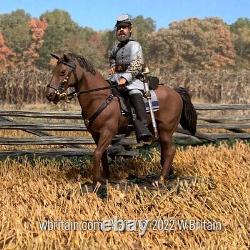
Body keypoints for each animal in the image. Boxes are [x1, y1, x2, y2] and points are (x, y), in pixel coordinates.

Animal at [46, 52, 196, 185]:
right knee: (165, 150)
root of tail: (176, 92)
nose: (49, 94)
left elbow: (97, 154)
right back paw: (168, 174)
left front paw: (96, 182)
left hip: (166, 129)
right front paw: (105, 178)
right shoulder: (96, 134)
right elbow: (103, 155)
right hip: (159, 130)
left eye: (63, 72)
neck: (99, 97)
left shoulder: (108, 132)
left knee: (170, 150)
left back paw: (160, 179)